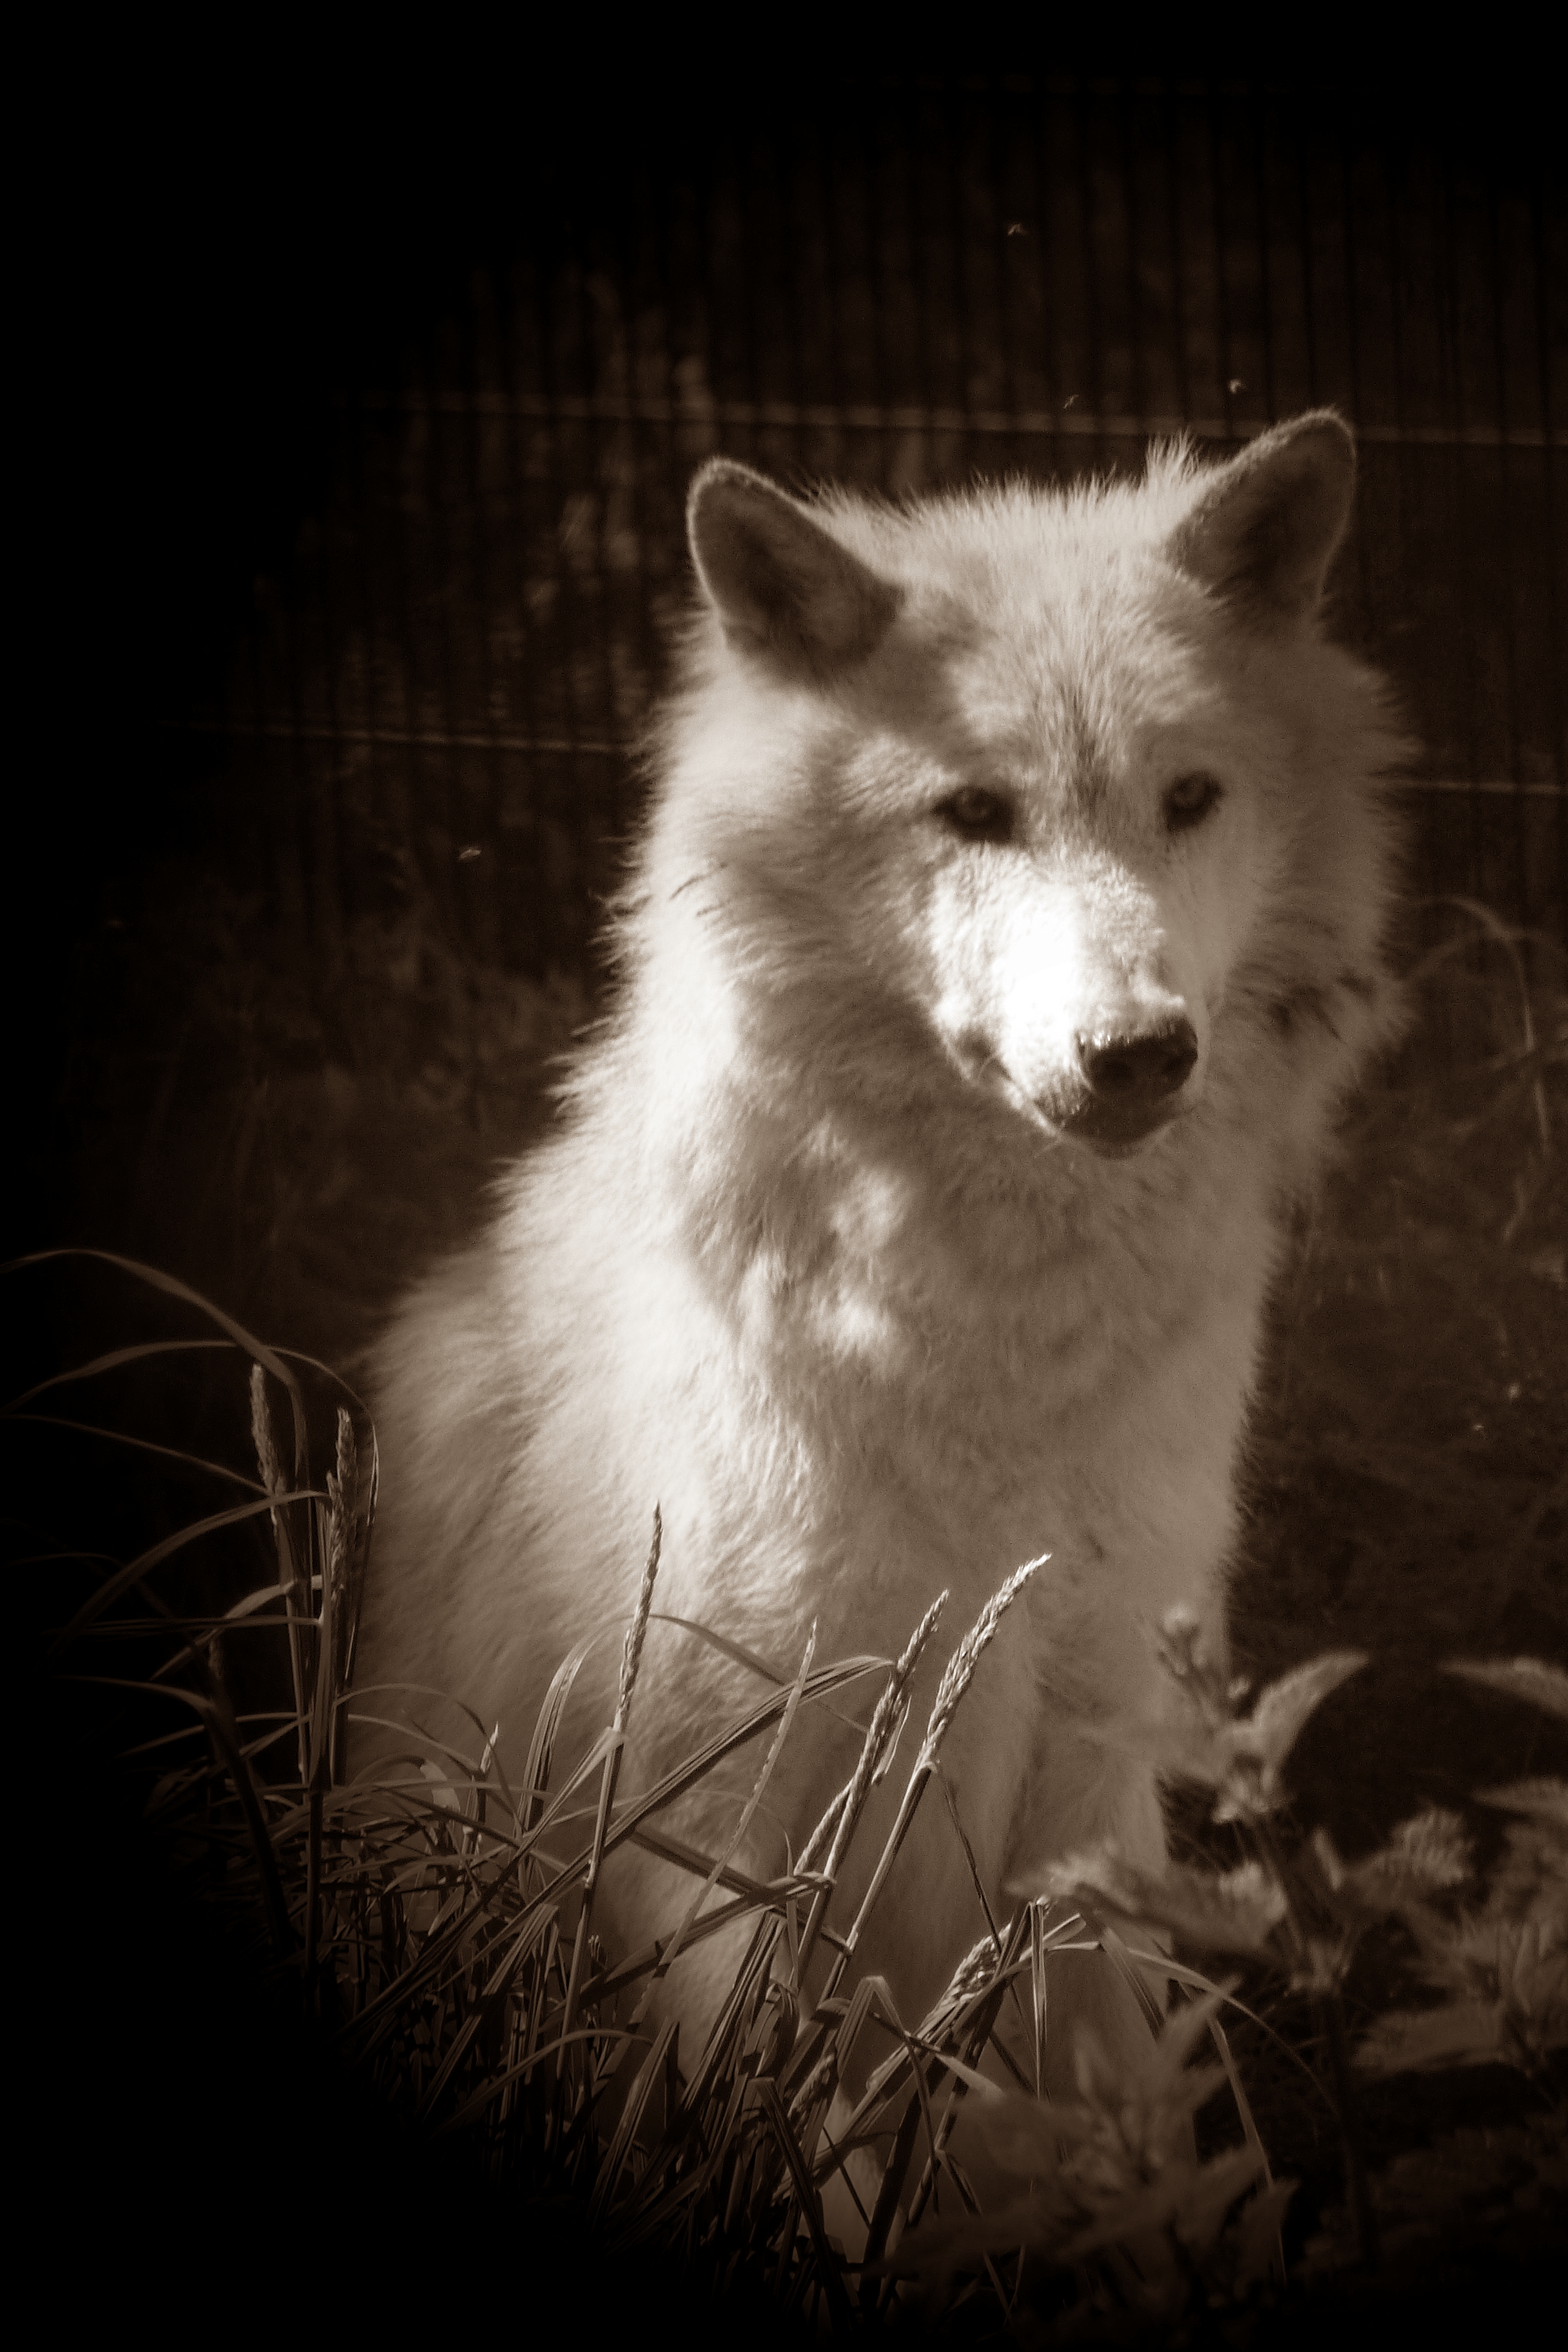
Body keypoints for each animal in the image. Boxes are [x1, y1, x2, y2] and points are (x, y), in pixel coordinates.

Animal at [357, 411, 1406, 2094]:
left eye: (1189, 797)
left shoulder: (1093, 1770)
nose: (1137, 1052)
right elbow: (776, 2121)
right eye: (973, 813)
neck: (997, 1360)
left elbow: (1114, 2107)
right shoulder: (722, 1799)